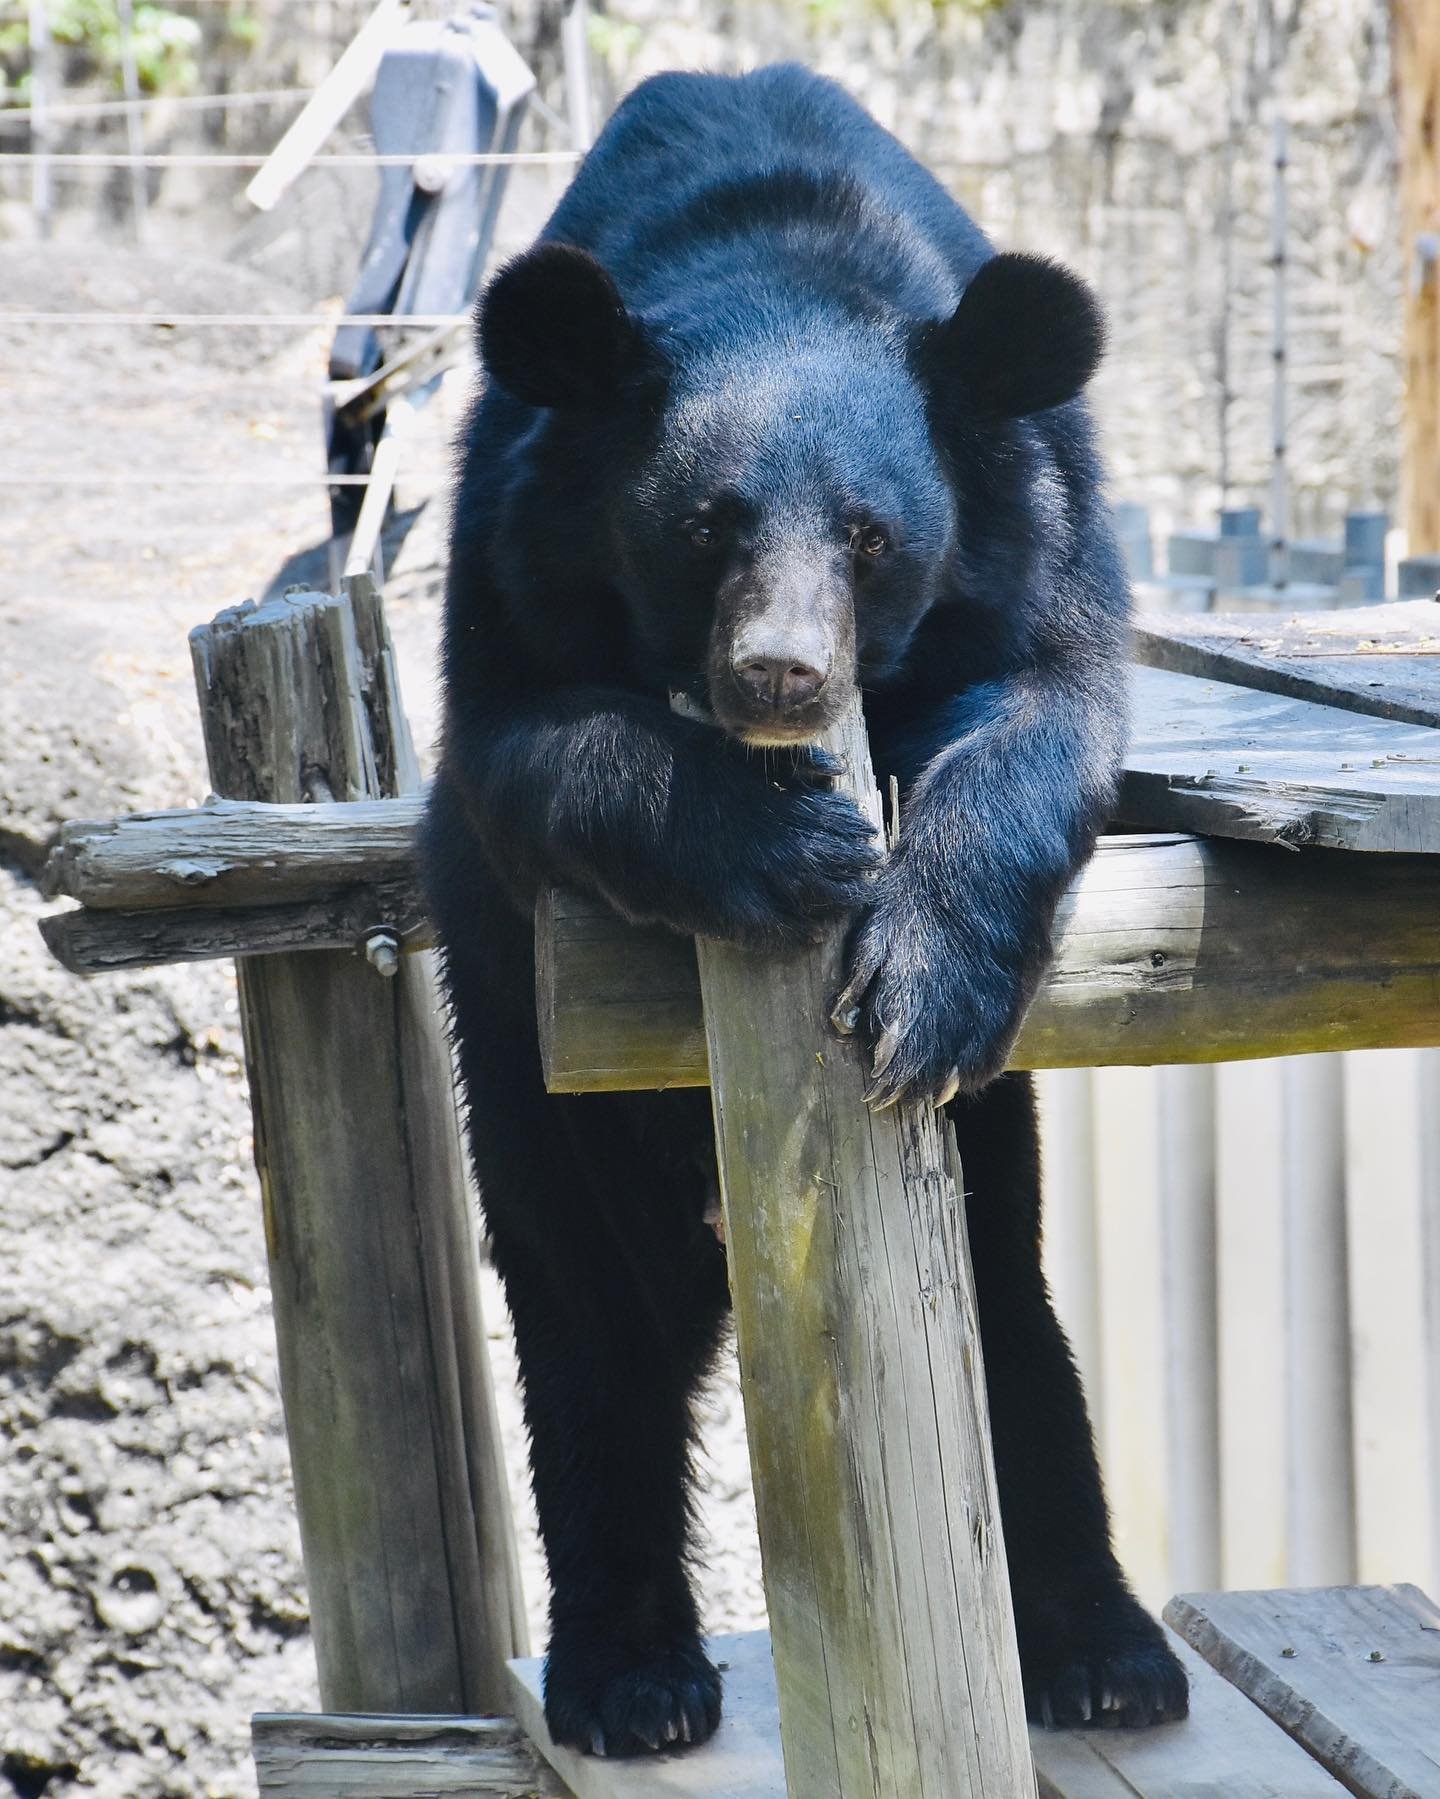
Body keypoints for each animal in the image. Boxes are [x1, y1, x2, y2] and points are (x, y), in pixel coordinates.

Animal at [421, 66, 1188, 1755]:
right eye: (706, 523)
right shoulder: (507, 549)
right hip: (525, 1082)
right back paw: (630, 1678)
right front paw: (789, 844)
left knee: (1009, 1315)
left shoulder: (1042, 519)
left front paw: (915, 984)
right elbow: (533, 747)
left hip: (985, 1184)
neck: (774, 249)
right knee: (592, 1339)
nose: (782, 672)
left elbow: (1046, 710)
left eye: (869, 534)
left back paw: (1107, 1651)